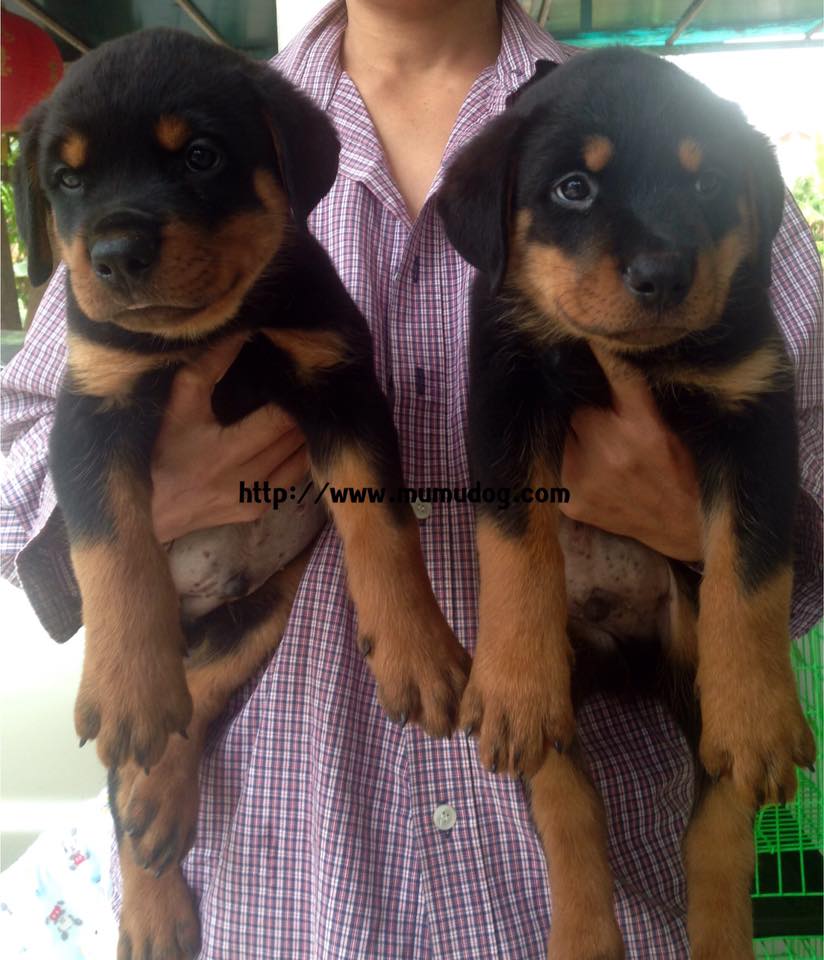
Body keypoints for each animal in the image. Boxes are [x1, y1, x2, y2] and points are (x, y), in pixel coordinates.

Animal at [438, 48, 816, 959]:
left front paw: (762, 711)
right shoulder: (506, 391)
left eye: (708, 182)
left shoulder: (756, 409)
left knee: (719, 813)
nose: (663, 275)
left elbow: (753, 572)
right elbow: (515, 542)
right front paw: (513, 678)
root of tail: (624, 654)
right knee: (567, 798)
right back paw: (582, 929)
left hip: (693, 667)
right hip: (561, 704)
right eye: (574, 188)